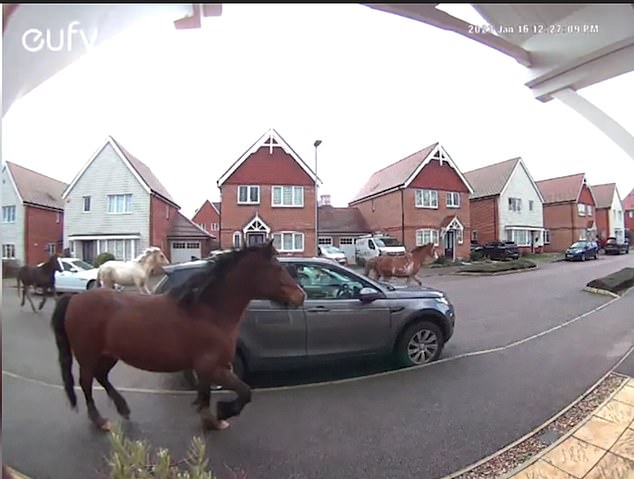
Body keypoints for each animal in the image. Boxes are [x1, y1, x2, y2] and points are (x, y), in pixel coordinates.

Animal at [51, 242, 304, 434]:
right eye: (277, 269)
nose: (300, 296)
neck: (208, 312)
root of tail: (74, 299)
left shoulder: (211, 368)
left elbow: (206, 394)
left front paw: (211, 420)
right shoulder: (212, 366)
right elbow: (244, 391)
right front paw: (223, 413)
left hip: (108, 355)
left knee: (101, 377)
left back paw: (123, 408)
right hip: (87, 355)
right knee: (86, 383)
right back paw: (100, 420)